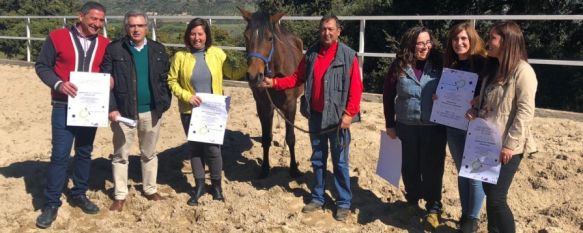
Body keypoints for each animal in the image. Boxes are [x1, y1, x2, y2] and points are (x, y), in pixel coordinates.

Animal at [238, 7, 306, 178]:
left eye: (270, 38)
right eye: (246, 36)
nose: (254, 76)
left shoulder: (291, 105)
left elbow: (291, 137)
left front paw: (294, 169)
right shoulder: (263, 105)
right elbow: (266, 138)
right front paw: (265, 168)